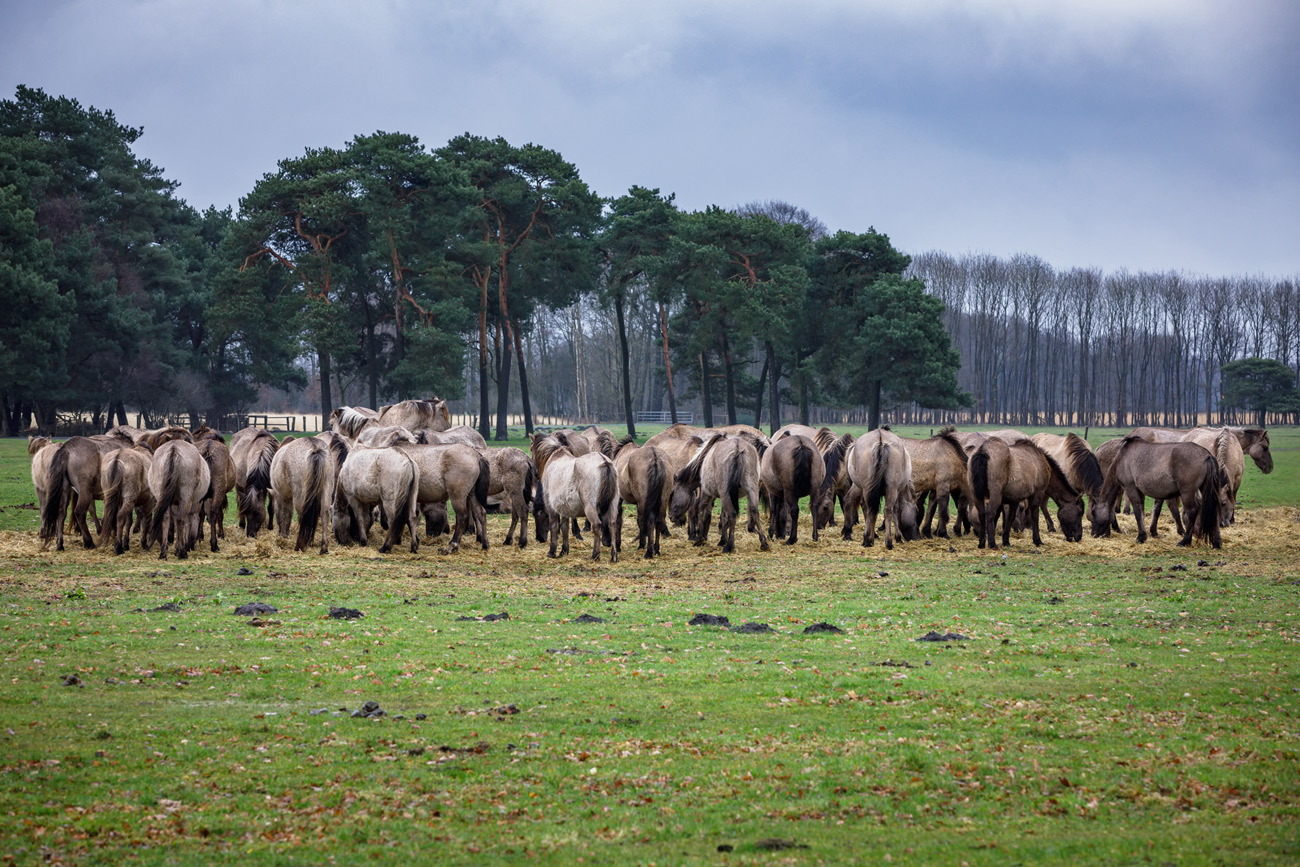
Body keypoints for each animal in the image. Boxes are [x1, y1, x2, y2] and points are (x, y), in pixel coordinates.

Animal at [533, 431, 624, 564]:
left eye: (531, 449)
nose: (535, 473)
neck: (555, 457)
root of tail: (604, 462)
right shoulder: (564, 509)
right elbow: (564, 527)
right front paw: (564, 550)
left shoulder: (551, 508)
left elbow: (554, 526)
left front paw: (552, 551)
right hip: (612, 505)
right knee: (612, 525)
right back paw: (614, 556)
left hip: (590, 508)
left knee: (596, 525)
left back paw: (595, 555)